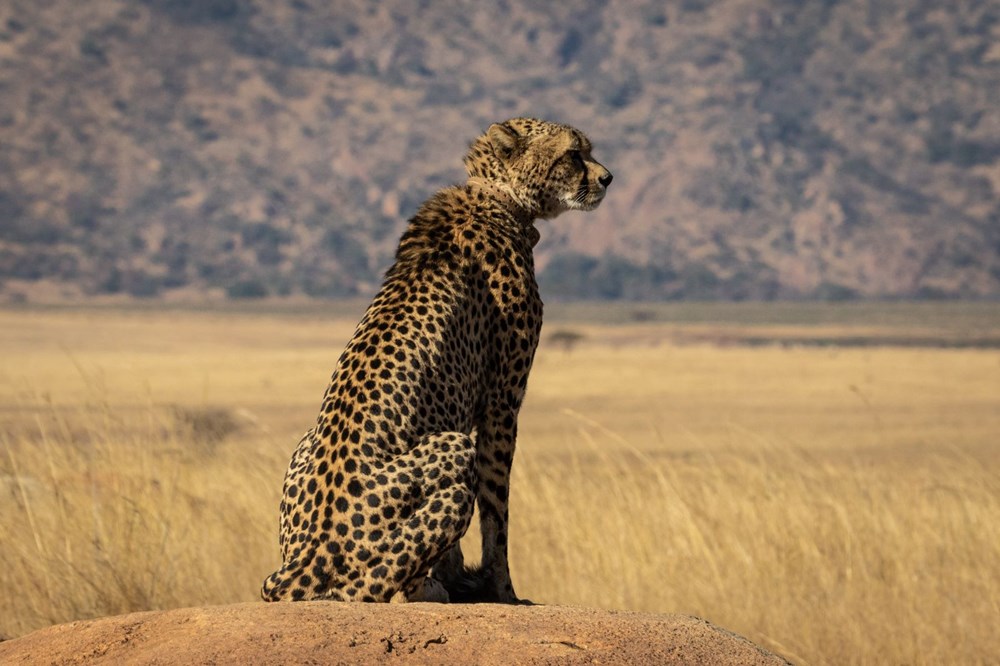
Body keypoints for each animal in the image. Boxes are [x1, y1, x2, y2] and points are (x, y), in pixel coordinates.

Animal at [260, 118, 608, 600]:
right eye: (574, 154)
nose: (607, 178)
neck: (499, 200)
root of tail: (303, 561)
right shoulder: (502, 401)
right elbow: (497, 511)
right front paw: (503, 591)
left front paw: (460, 574)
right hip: (453, 446)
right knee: (366, 590)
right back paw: (425, 588)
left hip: (305, 441)